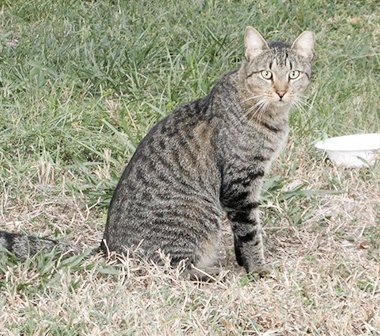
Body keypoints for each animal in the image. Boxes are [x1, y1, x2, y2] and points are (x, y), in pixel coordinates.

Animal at [0, 26, 314, 278]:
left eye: (293, 74)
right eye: (267, 74)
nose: (282, 91)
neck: (269, 115)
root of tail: (107, 248)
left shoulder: (249, 184)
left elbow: (242, 234)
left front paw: (242, 261)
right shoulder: (240, 185)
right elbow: (250, 233)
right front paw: (256, 268)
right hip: (197, 216)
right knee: (174, 269)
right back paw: (211, 273)